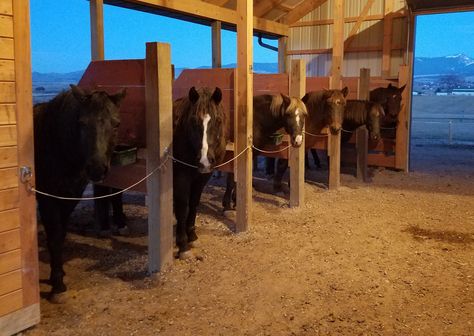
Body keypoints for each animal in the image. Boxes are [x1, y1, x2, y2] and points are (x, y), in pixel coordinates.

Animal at [34, 84, 125, 300]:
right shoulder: (47, 199)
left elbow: (60, 235)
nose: (97, 169)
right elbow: (54, 236)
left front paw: (57, 274)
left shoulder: (70, 197)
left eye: (116, 124)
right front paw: (57, 285)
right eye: (82, 123)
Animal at [173, 86, 227, 260]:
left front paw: (191, 235)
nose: (204, 160)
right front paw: (182, 244)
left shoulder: (203, 177)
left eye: (218, 120)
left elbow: (194, 202)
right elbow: (183, 206)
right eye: (193, 121)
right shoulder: (181, 176)